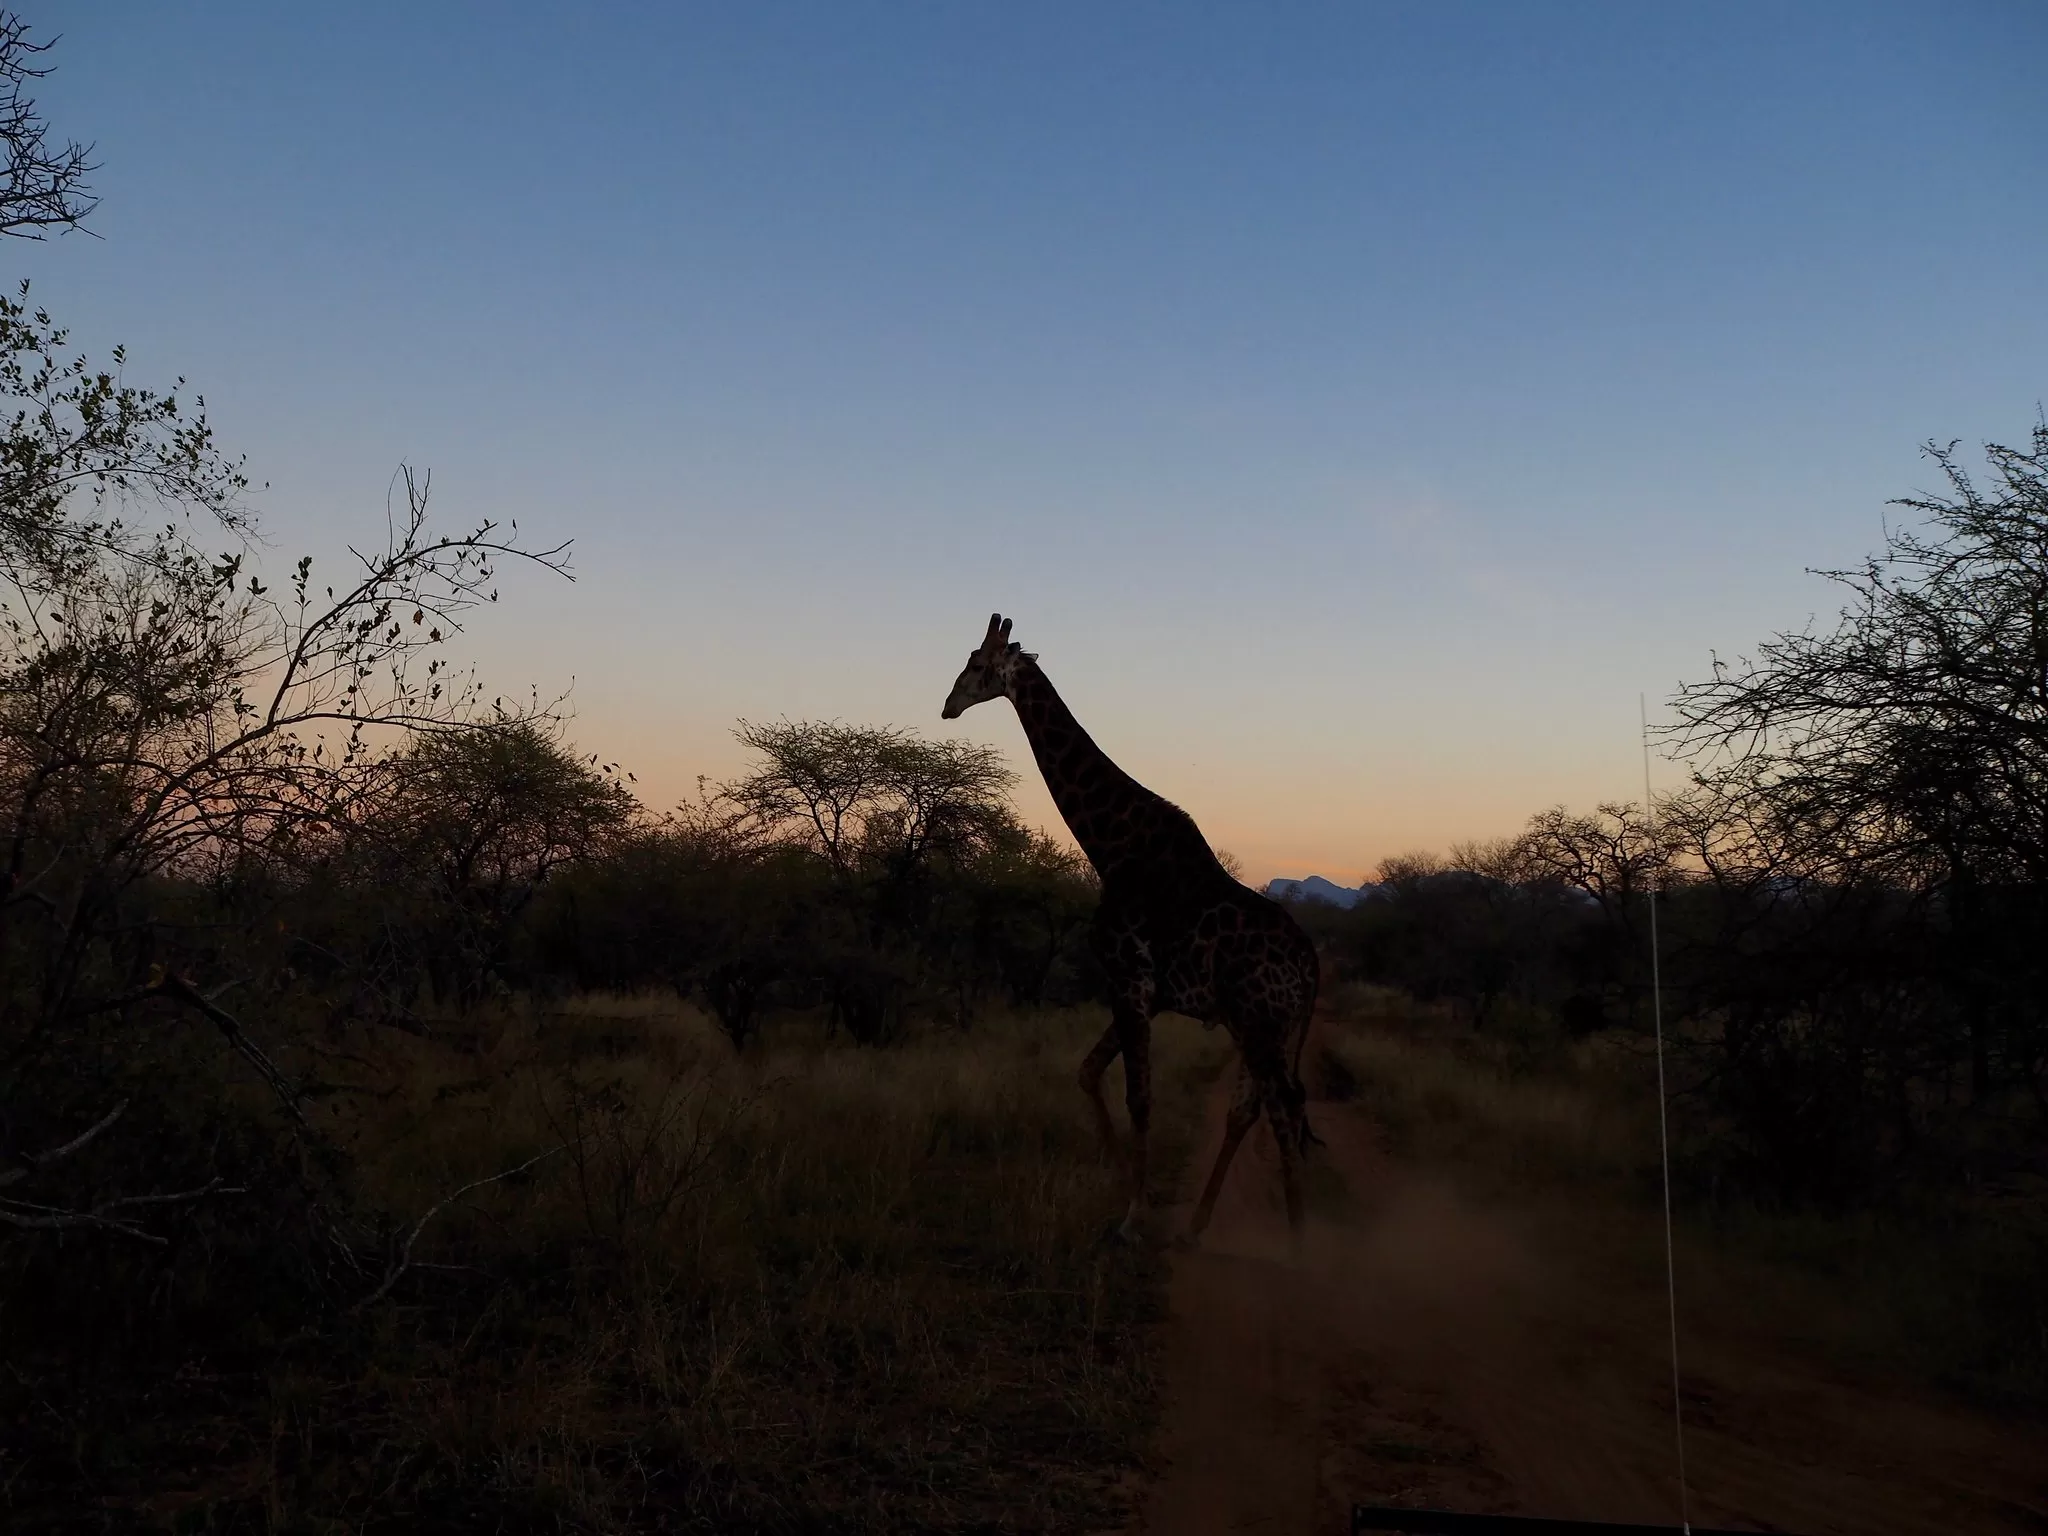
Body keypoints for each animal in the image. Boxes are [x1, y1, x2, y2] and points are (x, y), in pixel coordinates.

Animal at [937, 614, 1318, 1253]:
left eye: (977, 664)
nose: (948, 705)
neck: (1111, 844)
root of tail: (1311, 963)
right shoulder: (1147, 994)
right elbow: (1089, 1073)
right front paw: (1126, 1188)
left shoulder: (1130, 981)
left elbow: (1138, 1095)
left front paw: (1133, 1216)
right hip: (1257, 1024)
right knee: (1254, 1108)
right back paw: (1200, 1226)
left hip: (1262, 1021)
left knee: (1285, 1107)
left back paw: (1298, 1243)